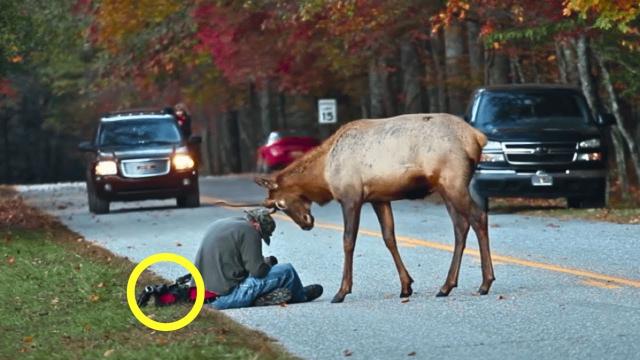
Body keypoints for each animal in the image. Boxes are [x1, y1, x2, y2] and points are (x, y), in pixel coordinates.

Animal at [255, 113, 496, 304]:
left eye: (280, 204)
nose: (306, 223)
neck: (324, 174)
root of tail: (476, 137)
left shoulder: (351, 196)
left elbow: (348, 240)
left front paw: (342, 291)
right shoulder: (379, 198)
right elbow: (389, 238)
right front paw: (406, 286)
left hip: (453, 182)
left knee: (478, 217)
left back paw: (485, 283)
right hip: (445, 187)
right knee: (461, 226)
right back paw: (446, 286)